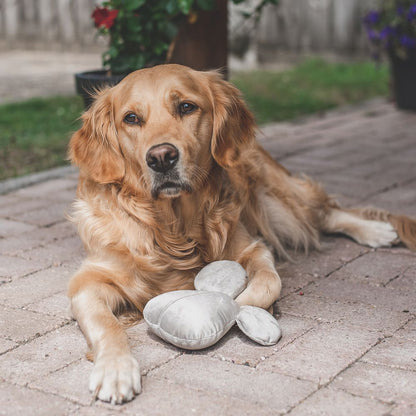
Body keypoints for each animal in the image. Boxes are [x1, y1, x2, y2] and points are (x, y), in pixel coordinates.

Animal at [68, 64, 416, 404]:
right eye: (131, 118)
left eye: (186, 107)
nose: (161, 157)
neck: (174, 228)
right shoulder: (87, 282)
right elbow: (106, 326)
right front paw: (115, 370)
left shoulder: (254, 248)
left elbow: (266, 284)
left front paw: (247, 308)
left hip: (276, 196)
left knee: (325, 212)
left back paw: (375, 231)